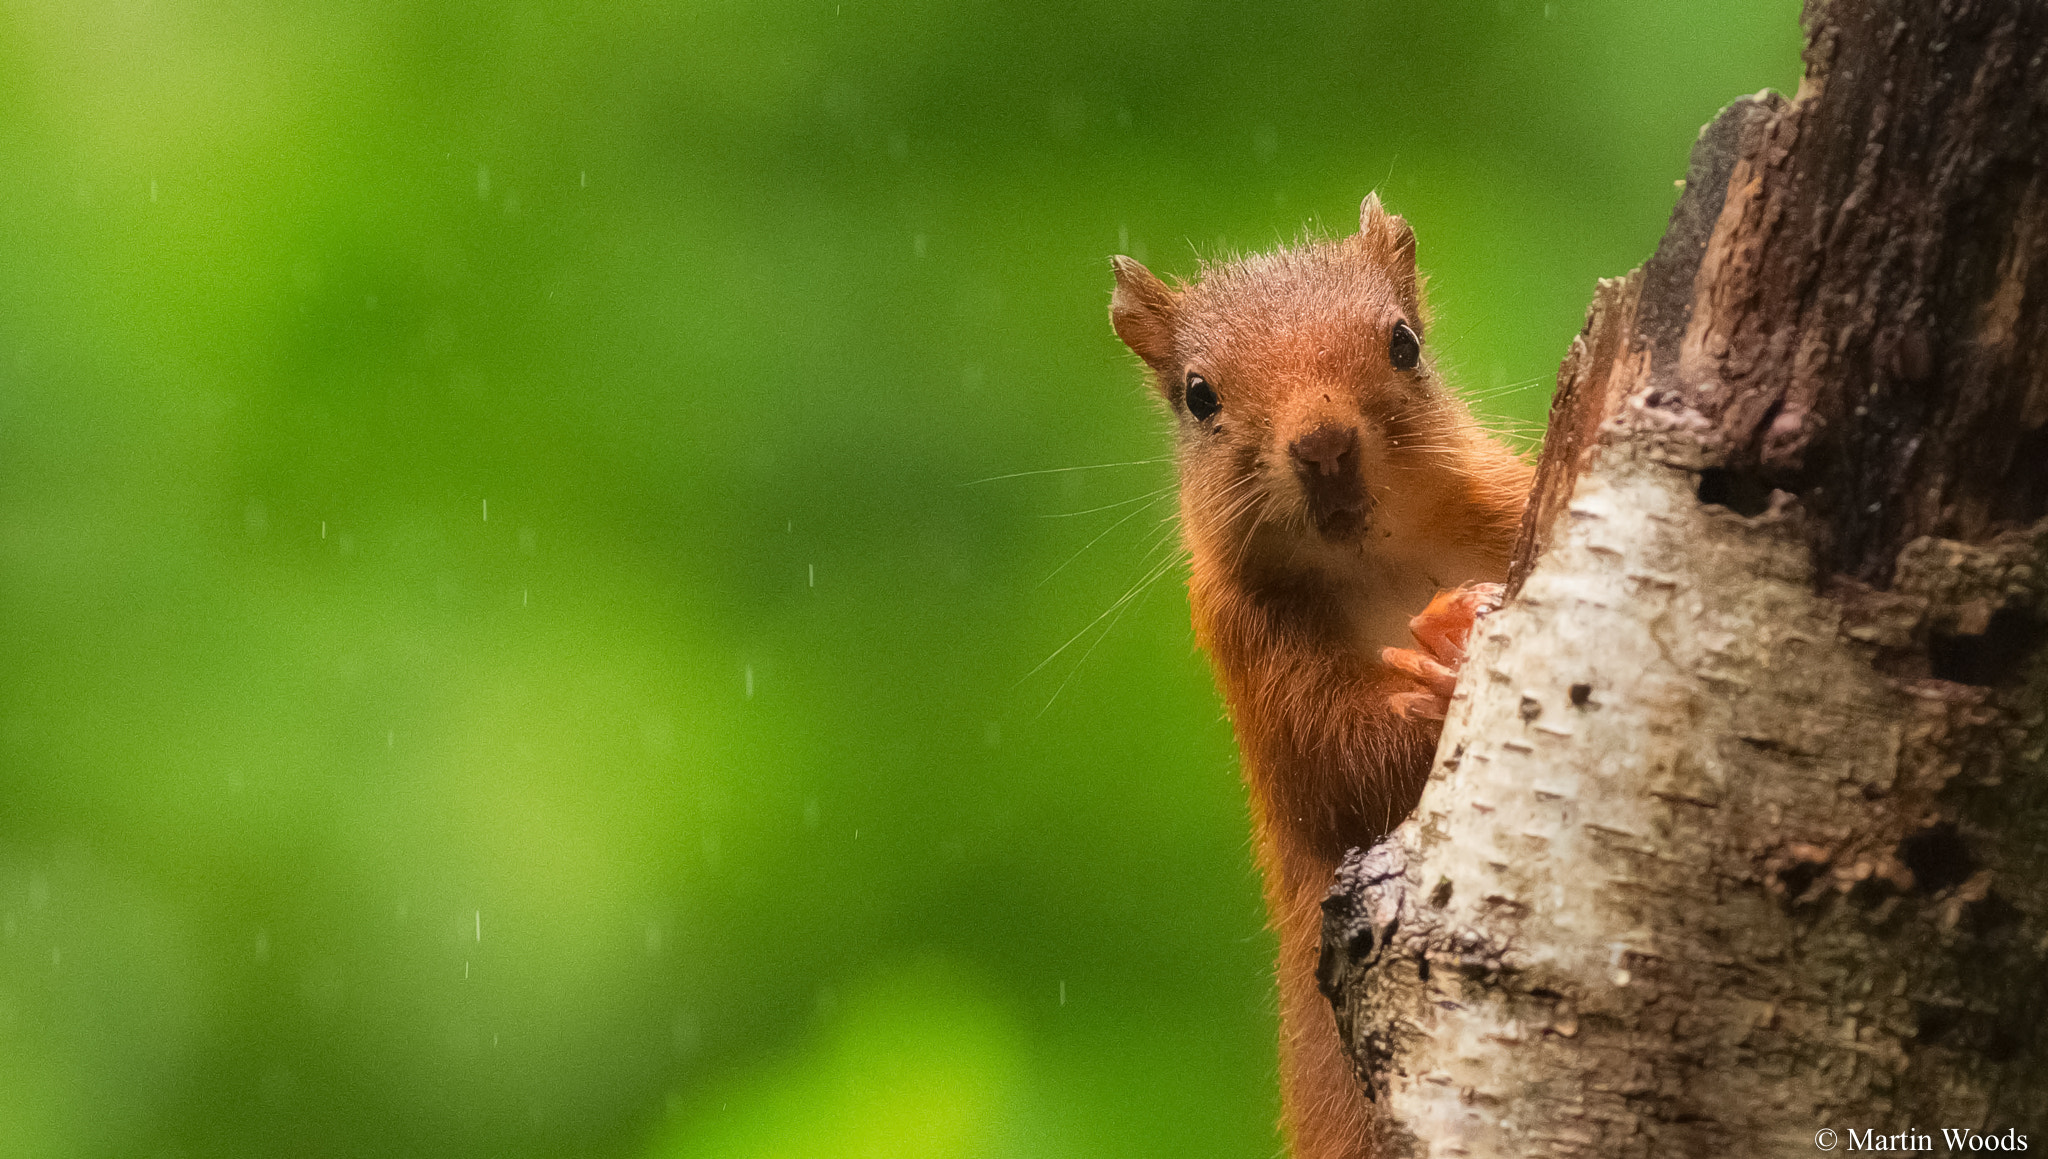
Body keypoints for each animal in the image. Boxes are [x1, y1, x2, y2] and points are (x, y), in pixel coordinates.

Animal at [1114, 195, 1531, 1154]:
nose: (1325, 445)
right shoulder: (1250, 652)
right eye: (1199, 394)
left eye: (1404, 343)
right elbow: (1342, 769)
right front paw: (1445, 669)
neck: (1379, 564)